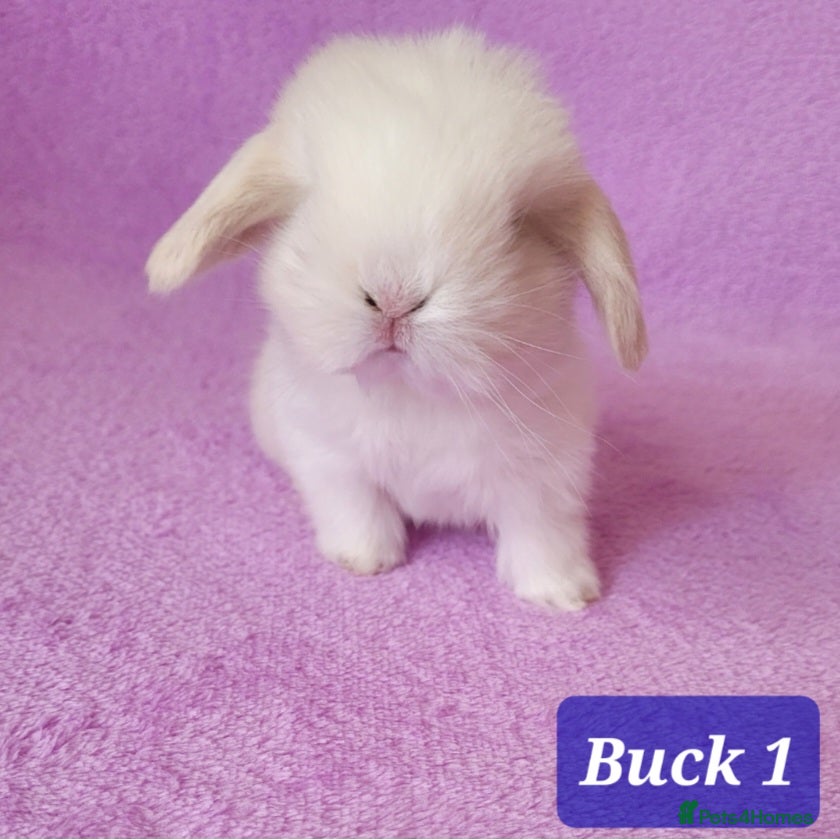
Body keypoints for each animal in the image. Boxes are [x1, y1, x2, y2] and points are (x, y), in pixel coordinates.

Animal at [146, 27, 647, 611]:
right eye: (310, 203)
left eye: (516, 224)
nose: (393, 296)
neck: (413, 396)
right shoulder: (329, 459)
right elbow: (357, 510)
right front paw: (364, 561)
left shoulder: (547, 474)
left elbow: (542, 534)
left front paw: (563, 593)